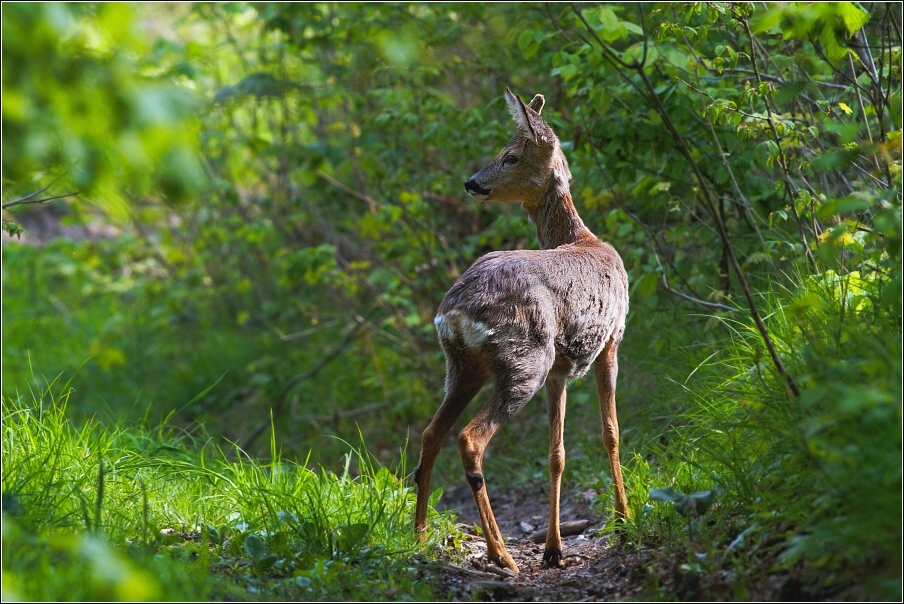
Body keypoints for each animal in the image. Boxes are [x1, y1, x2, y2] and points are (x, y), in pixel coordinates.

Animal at [414, 88, 624, 572]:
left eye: (509, 155)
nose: (471, 182)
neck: (581, 238)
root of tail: (454, 312)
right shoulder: (612, 338)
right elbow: (611, 434)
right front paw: (625, 520)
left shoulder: (561, 369)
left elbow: (557, 454)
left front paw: (554, 548)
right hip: (525, 360)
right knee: (470, 438)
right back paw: (501, 554)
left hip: (464, 367)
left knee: (431, 433)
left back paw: (418, 538)